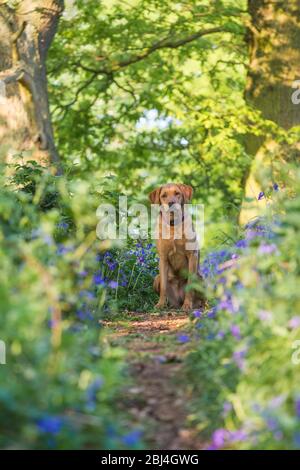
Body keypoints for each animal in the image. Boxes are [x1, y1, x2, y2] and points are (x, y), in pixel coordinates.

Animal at [149, 184, 205, 312]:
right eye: (164, 195)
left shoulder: (192, 255)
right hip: (156, 278)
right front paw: (160, 304)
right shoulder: (163, 258)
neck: (173, 226)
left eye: (177, 193)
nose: (171, 202)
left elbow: (190, 284)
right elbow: (164, 286)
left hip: (200, 278)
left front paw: (187, 305)